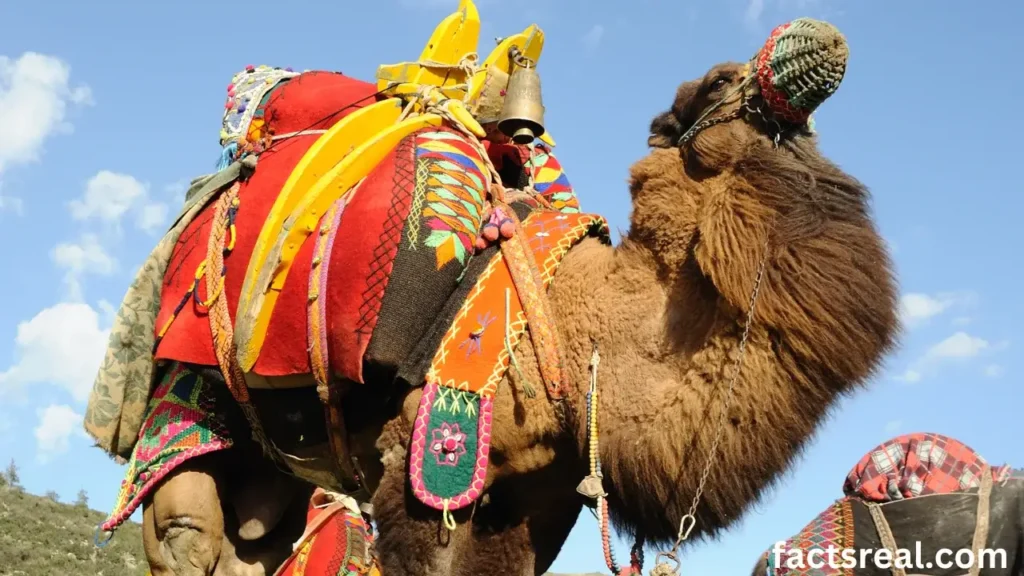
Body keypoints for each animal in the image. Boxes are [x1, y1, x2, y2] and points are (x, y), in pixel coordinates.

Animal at [83, 10, 897, 573]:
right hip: (185, 396)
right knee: (187, 534)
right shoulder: (422, 455)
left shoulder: (536, 499)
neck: (583, 331)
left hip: (277, 476)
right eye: (721, 81)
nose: (826, 35)